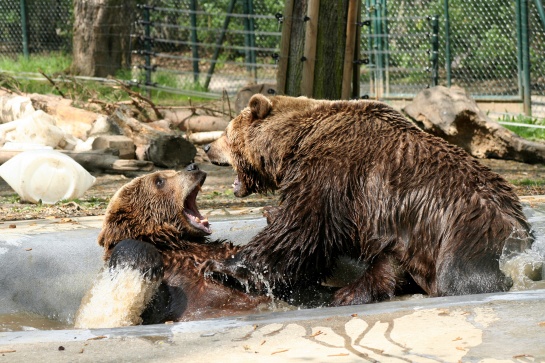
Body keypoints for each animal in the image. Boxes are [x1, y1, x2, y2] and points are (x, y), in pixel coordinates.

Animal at [203, 94, 532, 308]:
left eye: (227, 132)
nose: (206, 148)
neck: (295, 142)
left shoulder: (333, 173)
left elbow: (302, 229)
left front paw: (222, 266)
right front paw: (269, 212)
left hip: (465, 239)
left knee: (460, 278)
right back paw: (349, 292)